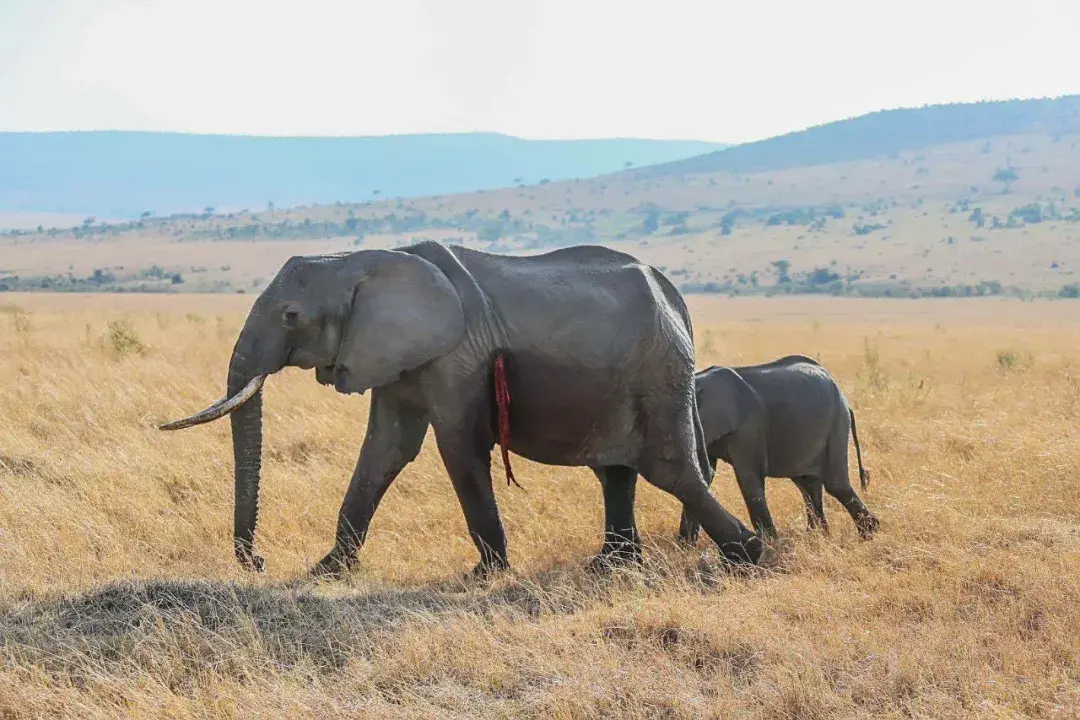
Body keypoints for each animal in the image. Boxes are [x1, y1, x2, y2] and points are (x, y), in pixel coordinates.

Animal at [159, 241, 768, 578]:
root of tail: (677, 301)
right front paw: (327, 570)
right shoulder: (395, 355)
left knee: (668, 467)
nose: (258, 562)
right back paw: (613, 567)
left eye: (290, 316)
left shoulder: (458, 356)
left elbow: (455, 445)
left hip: (658, 368)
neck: (359, 259)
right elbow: (385, 449)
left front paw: (487, 573)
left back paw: (746, 555)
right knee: (616, 471)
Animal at [678, 354, 881, 539]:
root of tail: (845, 400)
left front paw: (769, 543)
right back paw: (819, 537)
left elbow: (748, 477)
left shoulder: (750, 427)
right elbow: (702, 475)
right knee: (807, 484)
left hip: (836, 423)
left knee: (835, 485)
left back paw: (869, 534)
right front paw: (685, 545)